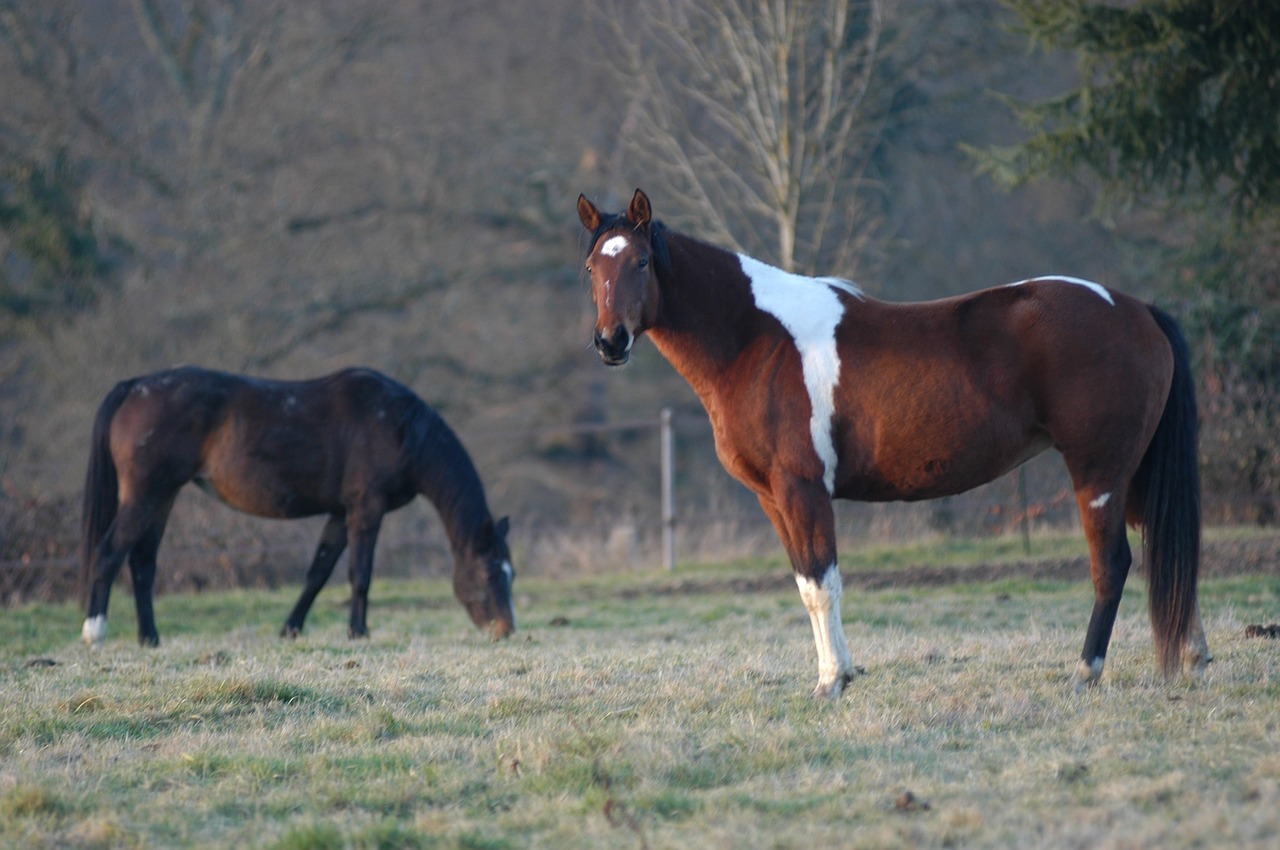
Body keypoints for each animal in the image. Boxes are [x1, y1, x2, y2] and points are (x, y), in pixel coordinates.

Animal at [80, 360, 514, 647]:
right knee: (109, 552)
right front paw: (359, 632)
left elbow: (318, 574)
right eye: (490, 573)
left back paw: (150, 638)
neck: (400, 428)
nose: (507, 630)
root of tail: (134, 386)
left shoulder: (340, 513)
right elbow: (360, 575)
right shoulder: (365, 511)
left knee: (142, 563)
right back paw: (95, 631)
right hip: (147, 493)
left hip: (163, 496)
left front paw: (290, 629)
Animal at [581, 188, 1208, 696]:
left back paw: (1085, 673)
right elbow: (806, 584)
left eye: (641, 260)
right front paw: (837, 674)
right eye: (591, 267)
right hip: (1132, 474)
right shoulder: (772, 498)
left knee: (1113, 564)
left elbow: (822, 583)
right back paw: (1193, 660)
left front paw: (832, 681)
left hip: (1098, 473)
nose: (610, 342)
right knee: (1166, 549)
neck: (756, 339)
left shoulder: (802, 489)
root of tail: (1137, 309)